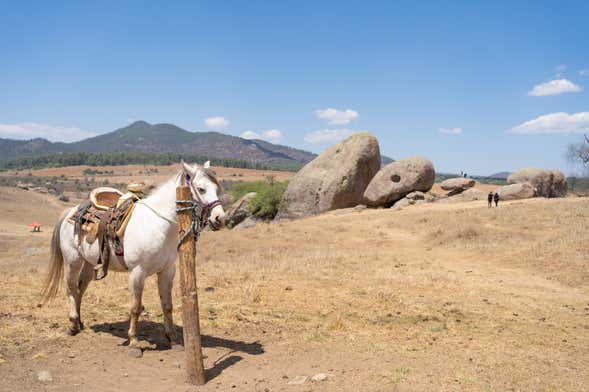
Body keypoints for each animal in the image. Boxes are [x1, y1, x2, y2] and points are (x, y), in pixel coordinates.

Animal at [40, 162, 225, 350]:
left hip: (89, 263)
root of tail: (71, 212)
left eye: (217, 189)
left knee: (80, 287)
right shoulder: (137, 272)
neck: (157, 225)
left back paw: (79, 323)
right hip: (73, 261)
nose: (220, 218)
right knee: (70, 288)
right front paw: (134, 341)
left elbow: (167, 305)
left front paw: (172, 339)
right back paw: (72, 325)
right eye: (201, 189)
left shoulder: (167, 271)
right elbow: (135, 307)